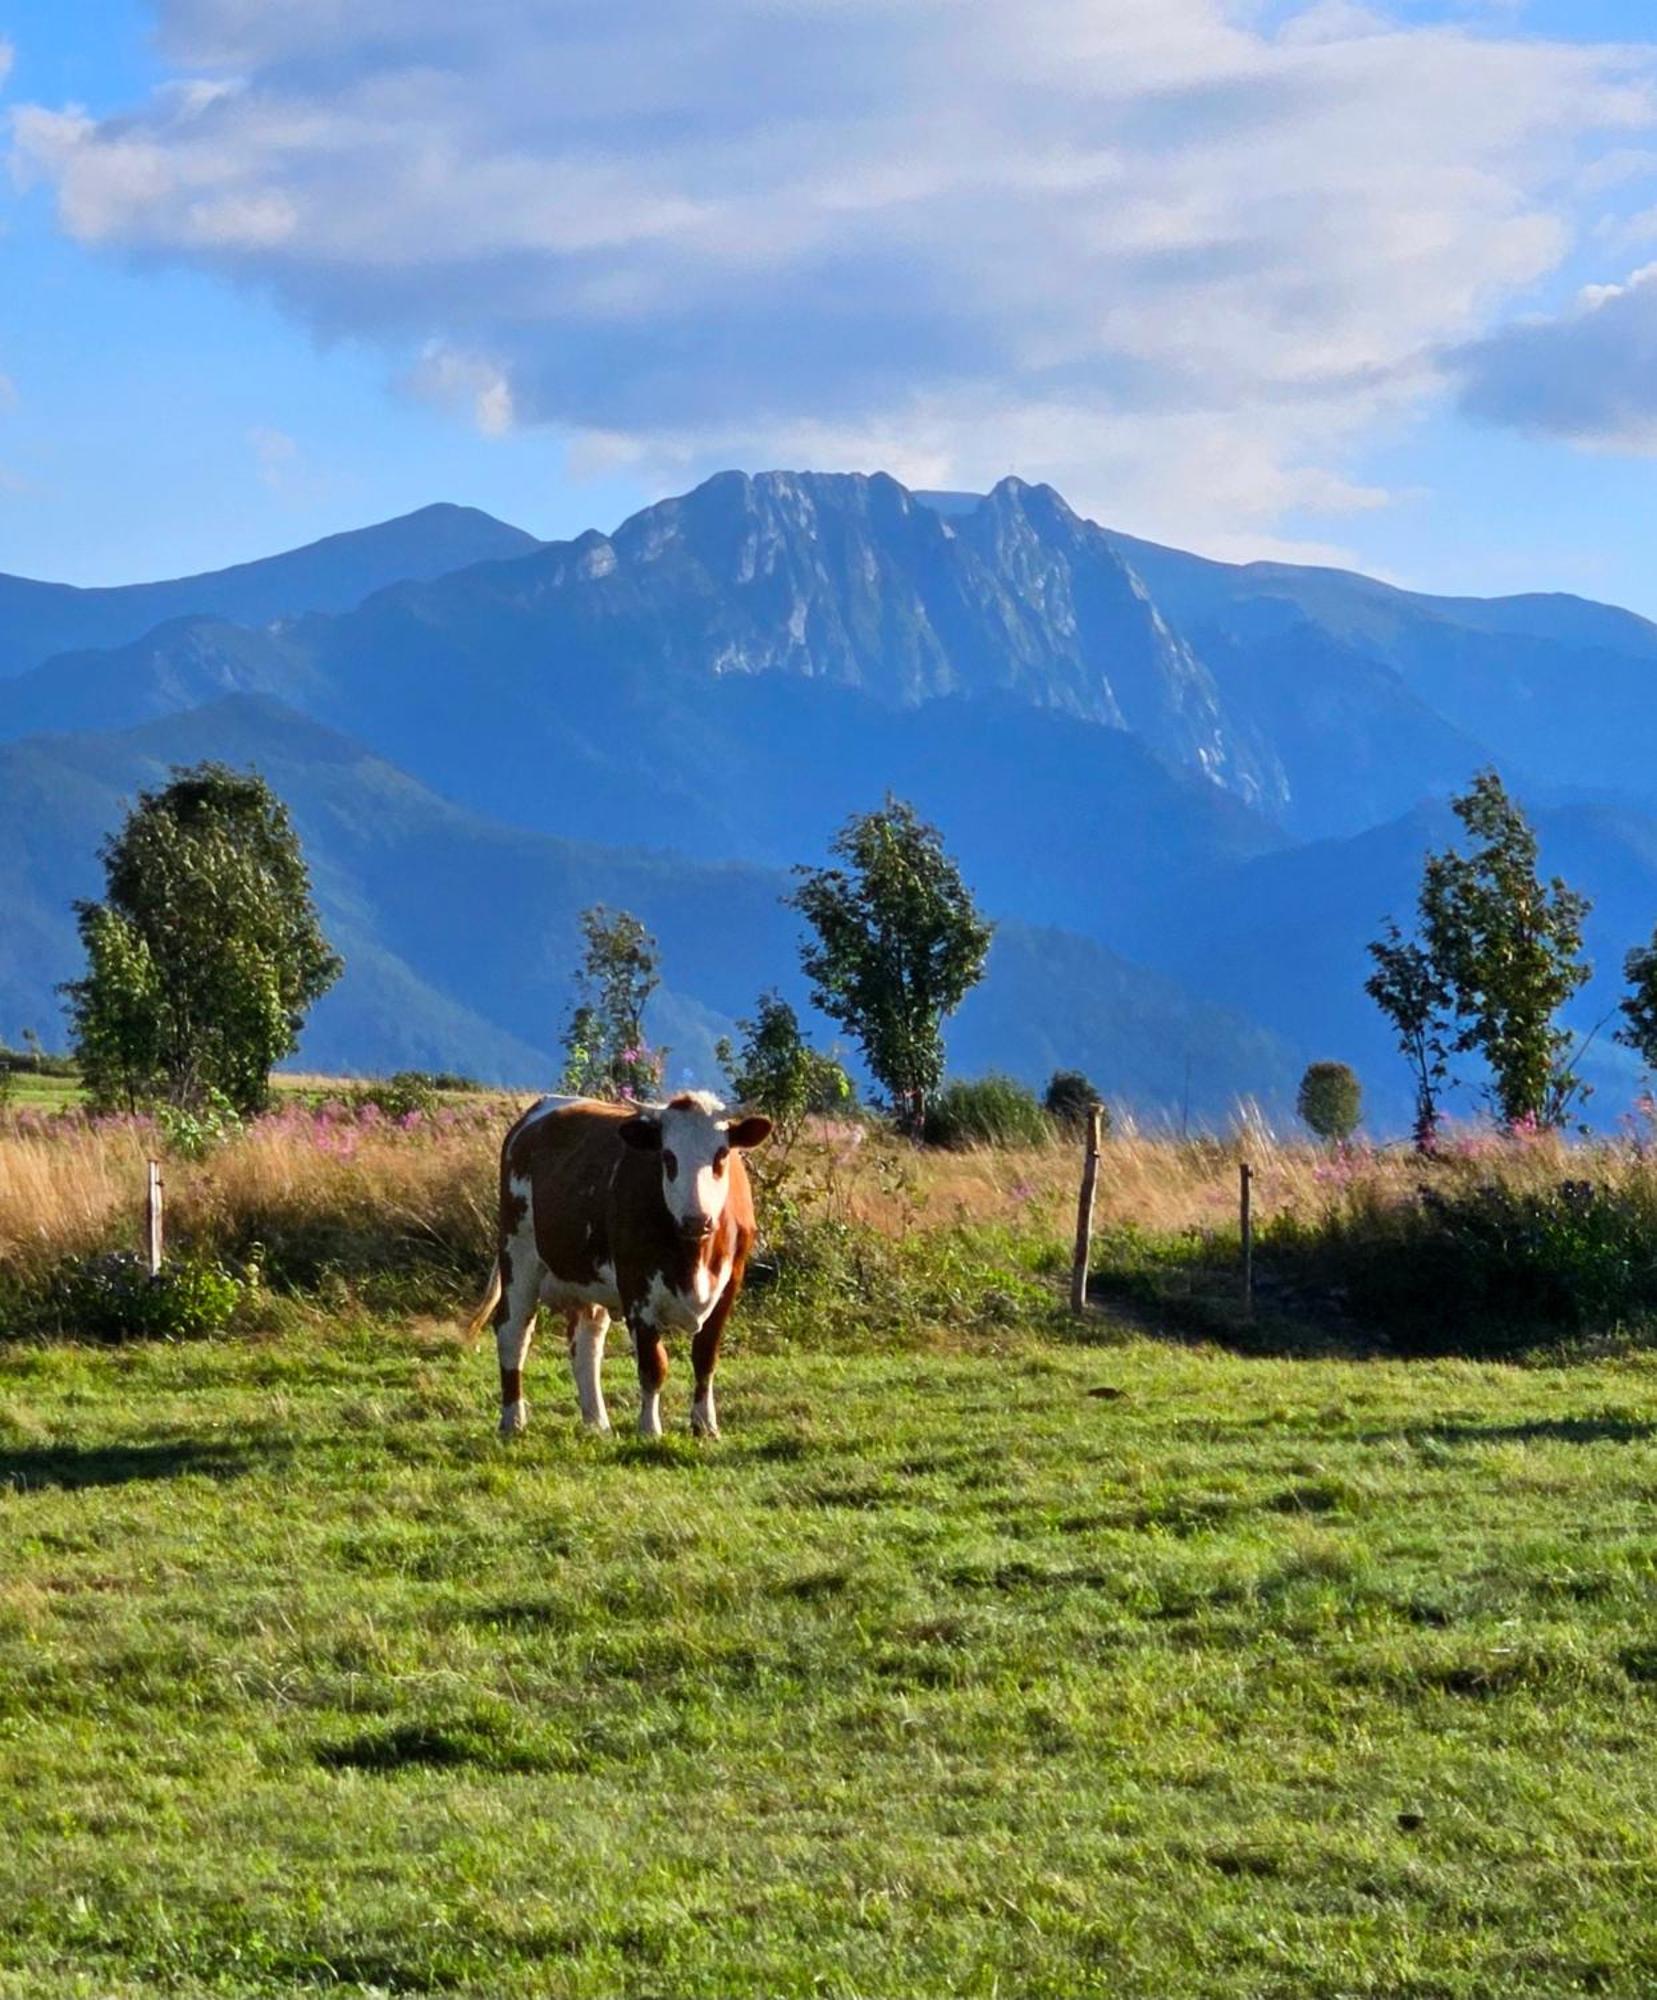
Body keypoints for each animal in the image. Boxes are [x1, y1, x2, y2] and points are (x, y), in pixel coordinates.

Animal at [466, 1096, 768, 1440]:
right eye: (667, 1156)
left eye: (721, 1154)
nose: (697, 1220)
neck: (694, 1259)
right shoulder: (636, 1287)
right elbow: (653, 1365)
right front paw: (649, 1429)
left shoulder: (730, 1284)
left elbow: (705, 1357)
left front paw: (705, 1426)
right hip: (518, 1254)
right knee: (513, 1332)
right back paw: (513, 1420)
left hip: (587, 1280)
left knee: (587, 1342)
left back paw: (597, 1422)